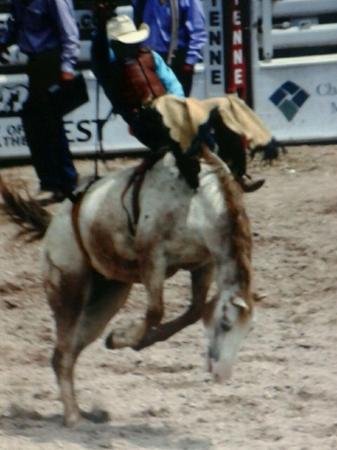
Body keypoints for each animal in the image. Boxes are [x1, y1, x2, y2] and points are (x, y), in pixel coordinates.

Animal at [0, 149, 252, 428]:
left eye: (247, 331)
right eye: (226, 324)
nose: (222, 374)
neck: (196, 202)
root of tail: (52, 224)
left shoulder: (203, 265)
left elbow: (193, 311)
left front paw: (129, 341)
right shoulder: (152, 257)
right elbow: (156, 310)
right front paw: (124, 338)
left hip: (107, 297)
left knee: (68, 352)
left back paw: (85, 412)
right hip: (68, 288)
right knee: (62, 355)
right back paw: (73, 417)